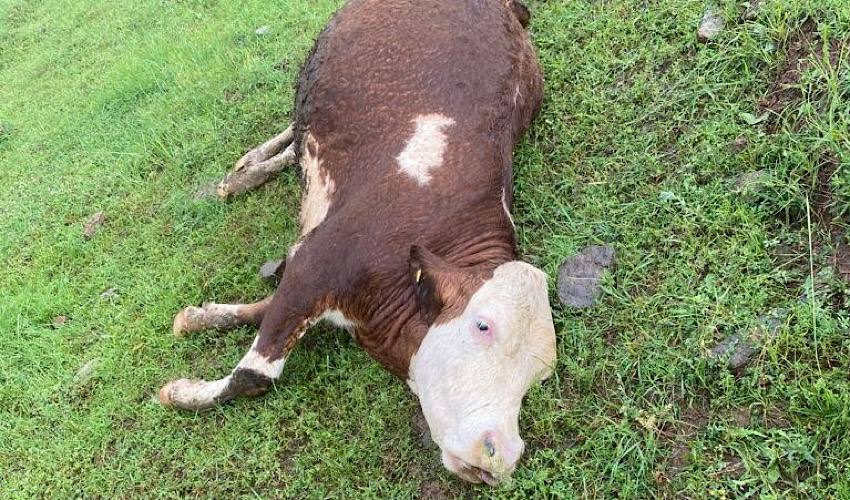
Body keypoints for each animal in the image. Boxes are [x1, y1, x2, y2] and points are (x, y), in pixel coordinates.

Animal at [157, 0, 556, 486]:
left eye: (539, 376)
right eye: (482, 326)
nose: (502, 455)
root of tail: (509, 8)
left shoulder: (312, 268)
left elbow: (263, 310)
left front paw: (199, 317)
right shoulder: (319, 259)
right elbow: (256, 373)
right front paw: (184, 391)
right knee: (291, 133)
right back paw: (246, 170)